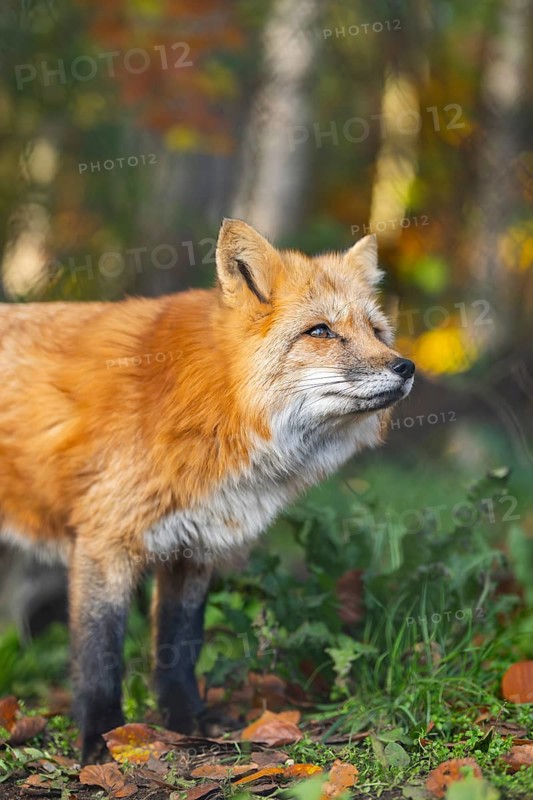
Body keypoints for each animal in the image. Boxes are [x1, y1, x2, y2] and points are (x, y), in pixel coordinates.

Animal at [0, 219, 414, 763]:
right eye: (321, 331)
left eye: (378, 332)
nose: (405, 367)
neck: (215, 403)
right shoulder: (105, 542)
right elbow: (100, 658)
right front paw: (99, 741)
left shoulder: (196, 544)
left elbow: (179, 650)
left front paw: (188, 725)